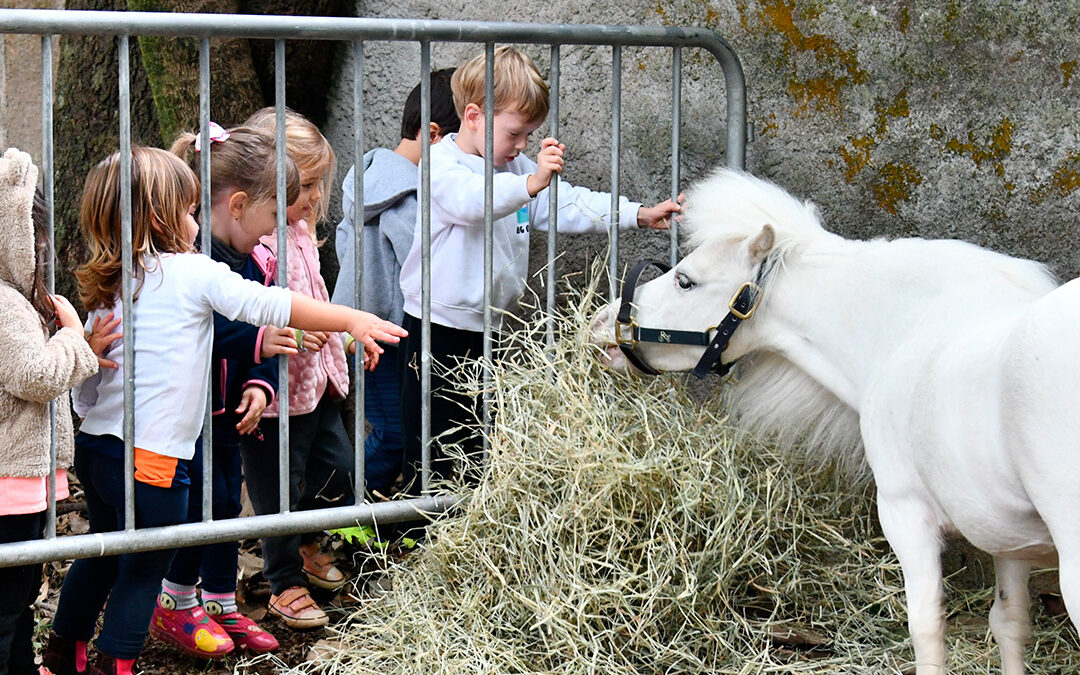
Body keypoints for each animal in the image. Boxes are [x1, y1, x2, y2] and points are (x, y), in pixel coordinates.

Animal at [591, 167, 1080, 669]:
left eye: (685, 281)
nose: (600, 323)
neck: (906, 330)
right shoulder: (1006, 540)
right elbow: (1010, 626)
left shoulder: (906, 515)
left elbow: (927, 629)